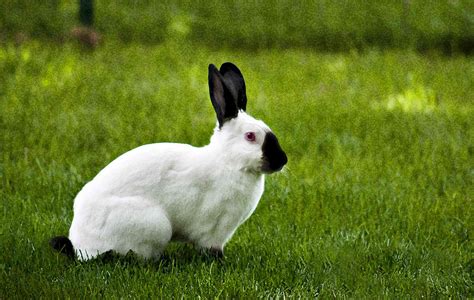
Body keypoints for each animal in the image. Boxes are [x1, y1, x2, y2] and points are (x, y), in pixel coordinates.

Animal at [51, 62, 288, 260]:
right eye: (250, 136)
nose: (282, 160)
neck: (228, 161)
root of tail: (80, 244)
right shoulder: (214, 229)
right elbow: (211, 248)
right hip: (156, 226)